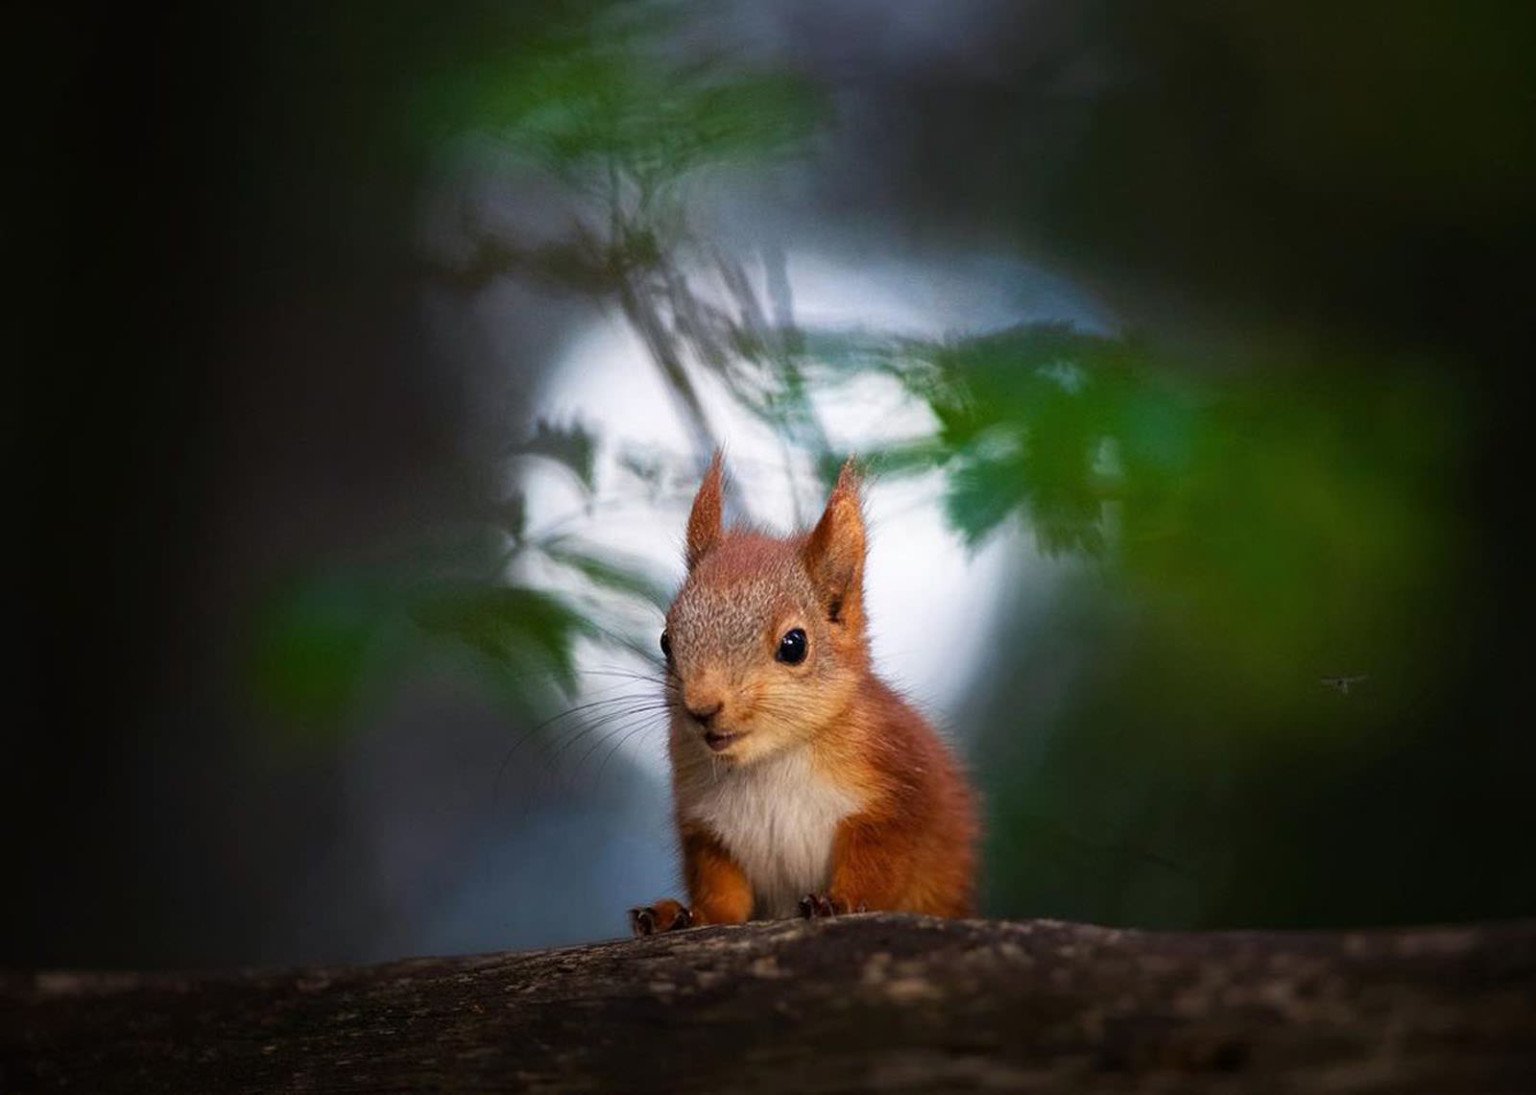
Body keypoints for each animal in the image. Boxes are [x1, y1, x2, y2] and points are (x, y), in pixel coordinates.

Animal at [629, 453, 979, 935]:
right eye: (665, 640)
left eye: (794, 645)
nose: (702, 707)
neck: (770, 761)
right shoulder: (708, 828)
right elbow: (723, 894)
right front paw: (686, 914)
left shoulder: (895, 797)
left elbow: (879, 868)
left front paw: (840, 901)